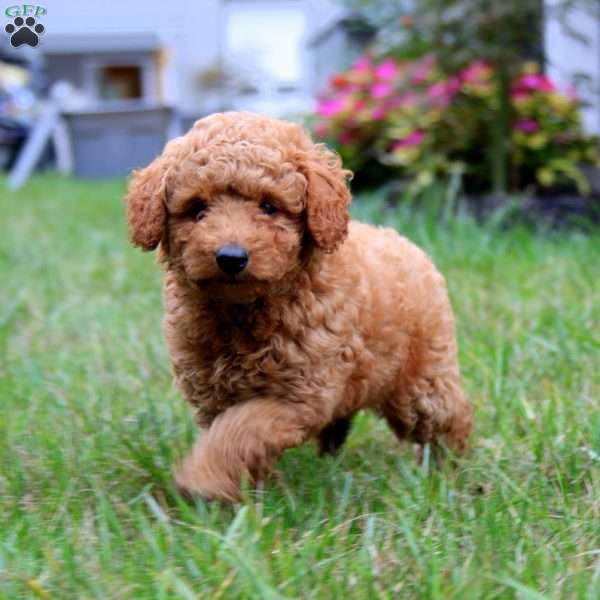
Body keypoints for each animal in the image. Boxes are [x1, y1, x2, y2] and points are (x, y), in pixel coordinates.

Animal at [125, 109, 474, 502]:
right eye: (197, 208)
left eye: (268, 206)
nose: (231, 258)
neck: (243, 312)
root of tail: (398, 238)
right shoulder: (214, 393)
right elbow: (234, 436)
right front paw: (250, 486)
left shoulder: (297, 395)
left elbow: (241, 429)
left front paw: (205, 478)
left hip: (421, 381)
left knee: (449, 416)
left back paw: (449, 470)